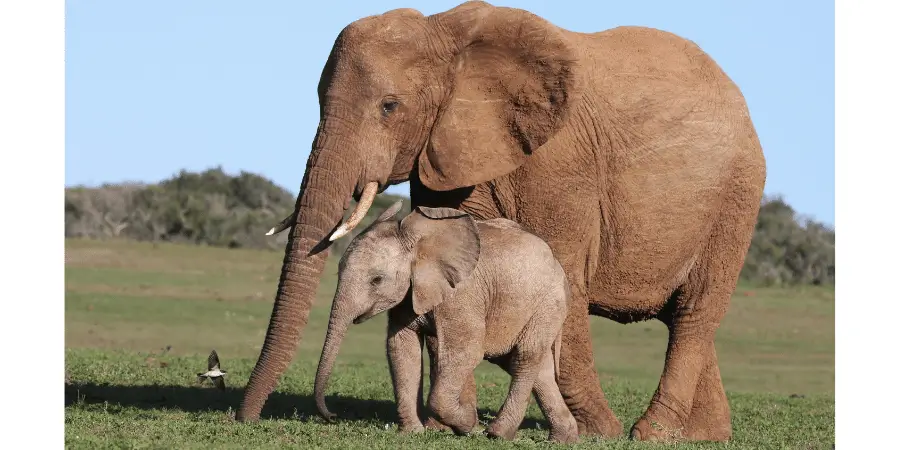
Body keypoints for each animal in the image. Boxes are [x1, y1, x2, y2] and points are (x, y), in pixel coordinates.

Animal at [312, 200, 580, 443]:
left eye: (376, 280)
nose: (332, 416)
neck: (418, 241)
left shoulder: (462, 294)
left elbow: (466, 351)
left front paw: (469, 426)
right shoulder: (409, 294)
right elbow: (402, 348)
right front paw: (412, 434)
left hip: (549, 304)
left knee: (525, 357)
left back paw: (497, 434)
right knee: (534, 366)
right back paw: (563, 439)